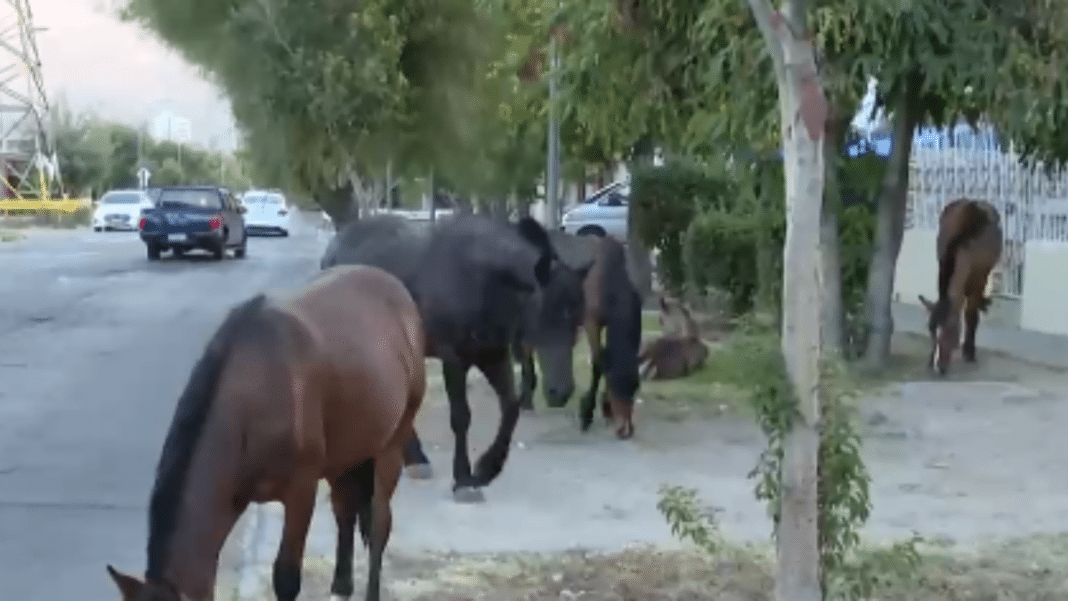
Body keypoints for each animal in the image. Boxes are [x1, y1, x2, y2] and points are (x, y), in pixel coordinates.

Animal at [106, 265, 425, 601]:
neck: (253, 397)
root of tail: (392, 285)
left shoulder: (301, 491)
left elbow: (286, 577)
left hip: (392, 443)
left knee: (378, 524)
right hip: (347, 454)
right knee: (345, 509)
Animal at [320, 211, 589, 503]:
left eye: (578, 319)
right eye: (547, 312)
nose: (561, 391)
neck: (482, 280)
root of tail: (334, 247)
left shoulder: (492, 355)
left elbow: (511, 407)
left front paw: (486, 469)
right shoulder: (454, 358)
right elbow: (461, 417)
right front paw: (463, 480)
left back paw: (414, 459)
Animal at [516, 232, 640, 439]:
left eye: (635, 385)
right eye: (614, 383)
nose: (626, 430)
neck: (606, 276)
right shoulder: (591, 323)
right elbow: (598, 364)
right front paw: (587, 413)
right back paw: (526, 402)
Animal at [918, 198, 999, 375]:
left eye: (950, 331)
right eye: (931, 331)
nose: (938, 367)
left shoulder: (979, 281)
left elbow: (971, 316)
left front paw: (969, 353)